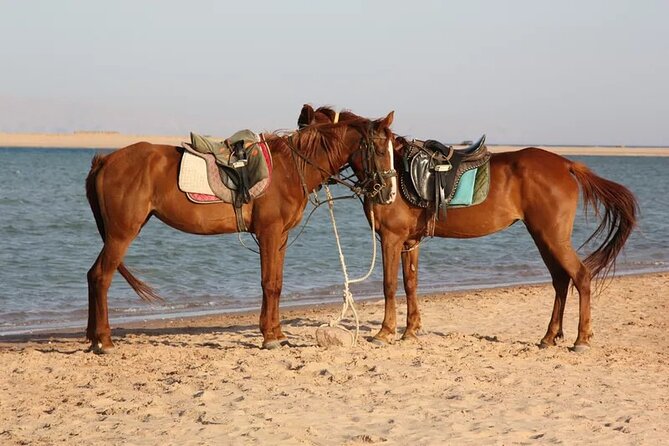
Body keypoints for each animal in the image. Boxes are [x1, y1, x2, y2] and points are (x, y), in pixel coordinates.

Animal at [85, 112, 397, 352]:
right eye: (381, 151)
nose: (388, 194)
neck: (291, 168)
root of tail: (105, 161)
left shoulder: (280, 237)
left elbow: (277, 284)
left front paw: (277, 333)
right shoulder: (269, 233)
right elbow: (268, 284)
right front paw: (269, 337)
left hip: (116, 234)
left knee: (92, 275)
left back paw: (93, 339)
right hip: (122, 234)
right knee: (101, 277)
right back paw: (105, 341)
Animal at [298, 104, 638, 351]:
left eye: (385, 149)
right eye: (376, 149)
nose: (386, 190)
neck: (402, 173)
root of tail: (567, 164)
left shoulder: (391, 240)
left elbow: (389, 285)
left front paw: (385, 331)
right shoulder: (410, 242)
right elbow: (410, 284)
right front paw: (410, 330)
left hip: (552, 237)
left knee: (580, 277)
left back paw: (582, 338)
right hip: (544, 237)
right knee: (560, 281)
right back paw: (549, 336)